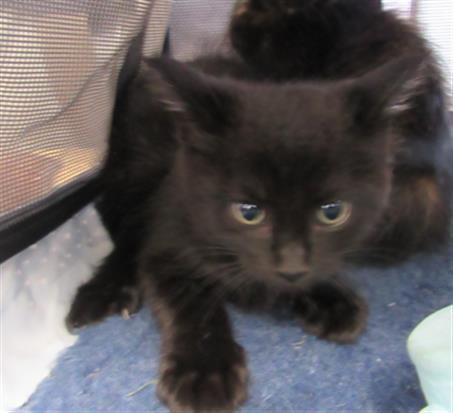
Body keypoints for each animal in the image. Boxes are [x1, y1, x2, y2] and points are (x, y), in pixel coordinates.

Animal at [65, 1, 450, 410]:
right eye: (248, 212)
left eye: (333, 212)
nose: (291, 266)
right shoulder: (168, 231)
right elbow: (188, 299)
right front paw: (204, 371)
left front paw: (329, 297)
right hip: (132, 174)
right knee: (124, 230)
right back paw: (104, 291)